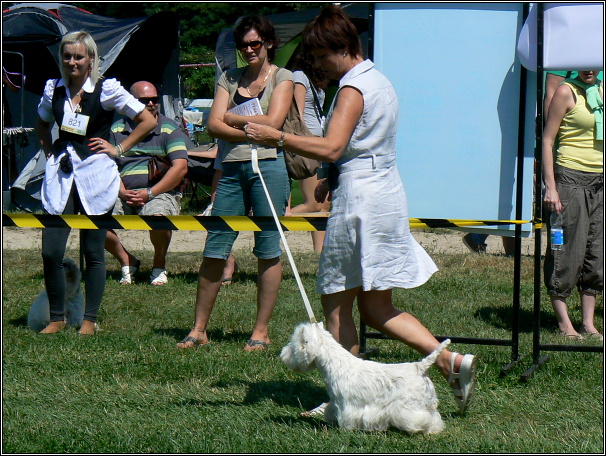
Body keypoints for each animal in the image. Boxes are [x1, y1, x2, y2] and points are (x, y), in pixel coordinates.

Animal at [282, 322, 452, 432]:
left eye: (294, 344)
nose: (282, 354)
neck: (335, 364)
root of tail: (420, 367)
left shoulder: (346, 404)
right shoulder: (336, 402)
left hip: (410, 405)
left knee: (420, 417)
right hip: (427, 402)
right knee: (434, 418)